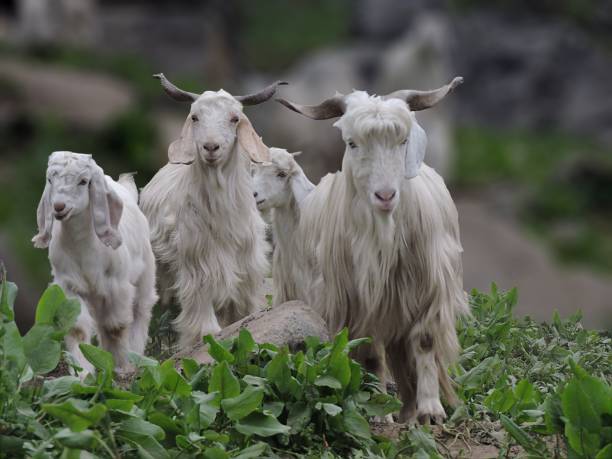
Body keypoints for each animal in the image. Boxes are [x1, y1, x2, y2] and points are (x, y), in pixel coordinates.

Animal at [32, 151, 158, 374]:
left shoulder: (117, 286)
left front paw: (122, 366)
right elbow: (77, 329)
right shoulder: (69, 286)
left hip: (145, 275)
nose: (59, 207)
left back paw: (135, 356)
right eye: (50, 180)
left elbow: (116, 327)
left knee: (141, 311)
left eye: (83, 181)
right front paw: (84, 372)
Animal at [141, 74, 284, 348]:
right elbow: (200, 301)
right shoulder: (196, 260)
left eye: (234, 118)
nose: (210, 147)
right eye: (195, 117)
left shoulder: (247, 262)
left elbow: (243, 305)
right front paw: (203, 334)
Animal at [278, 78, 468, 424]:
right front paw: (381, 412)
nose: (385, 195)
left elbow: (424, 343)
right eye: (352, 143)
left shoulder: (429, 291)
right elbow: (371, 357)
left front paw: (431, 411)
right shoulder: (358, 306)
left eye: (403, 140)